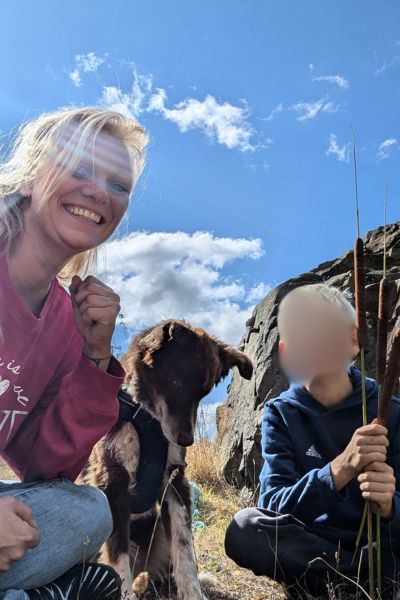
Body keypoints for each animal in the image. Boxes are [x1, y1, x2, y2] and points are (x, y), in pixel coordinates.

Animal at [79, 322, 252, 600]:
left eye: (203, 393)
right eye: (175, 383)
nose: (186, 441)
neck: (149, 421)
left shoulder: (175, 482)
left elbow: (184, 548)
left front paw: (193, 593)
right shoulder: (113, 483)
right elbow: (118, 559)